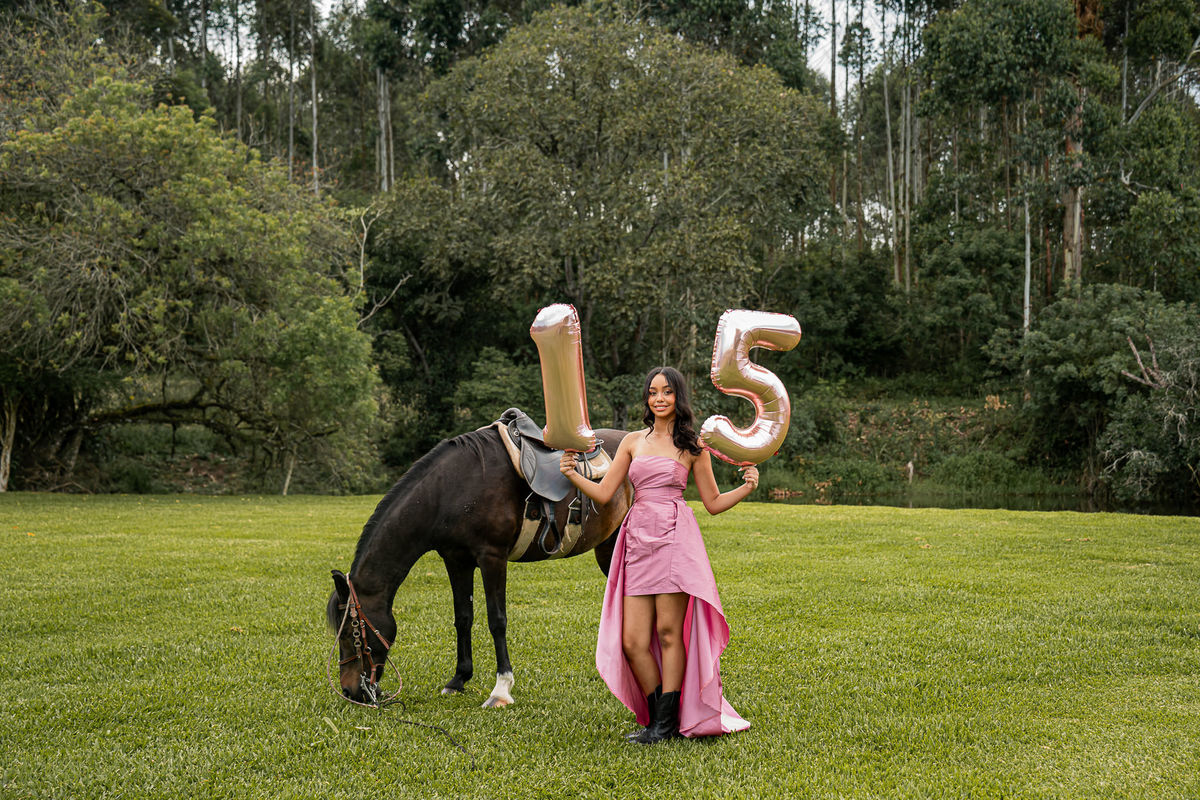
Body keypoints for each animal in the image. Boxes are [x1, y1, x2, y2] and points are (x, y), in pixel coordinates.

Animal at [326, 424, 632, 708]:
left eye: (350, 633)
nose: (349, 690)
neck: (451, 490)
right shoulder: (456, 560)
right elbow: (463, 617)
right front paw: (459, 678)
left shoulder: (491, 558)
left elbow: (497, 620)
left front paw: (501, 689)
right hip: (608, 550)